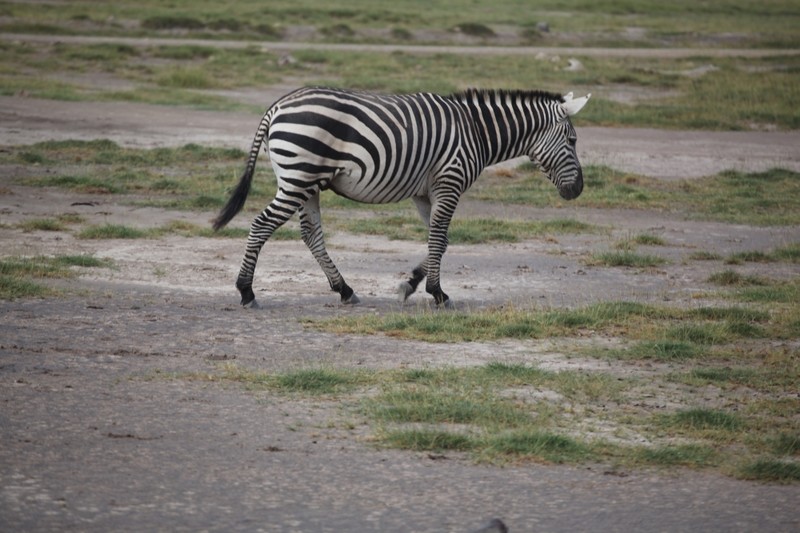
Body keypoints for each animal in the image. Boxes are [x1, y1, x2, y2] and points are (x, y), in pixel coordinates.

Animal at [212, 86, 588, 308]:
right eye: (572, 141)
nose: (578, 190)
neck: (476, 131)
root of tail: (278, 105)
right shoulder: (449, 182)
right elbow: (438, 239)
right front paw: (437, 293)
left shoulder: (426, 192)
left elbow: (441, 240)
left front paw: (410, 284)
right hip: (299, 177)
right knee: (261, 225)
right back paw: (246, 291)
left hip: (306, 183)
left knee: (311, 234)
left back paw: (344, 290)